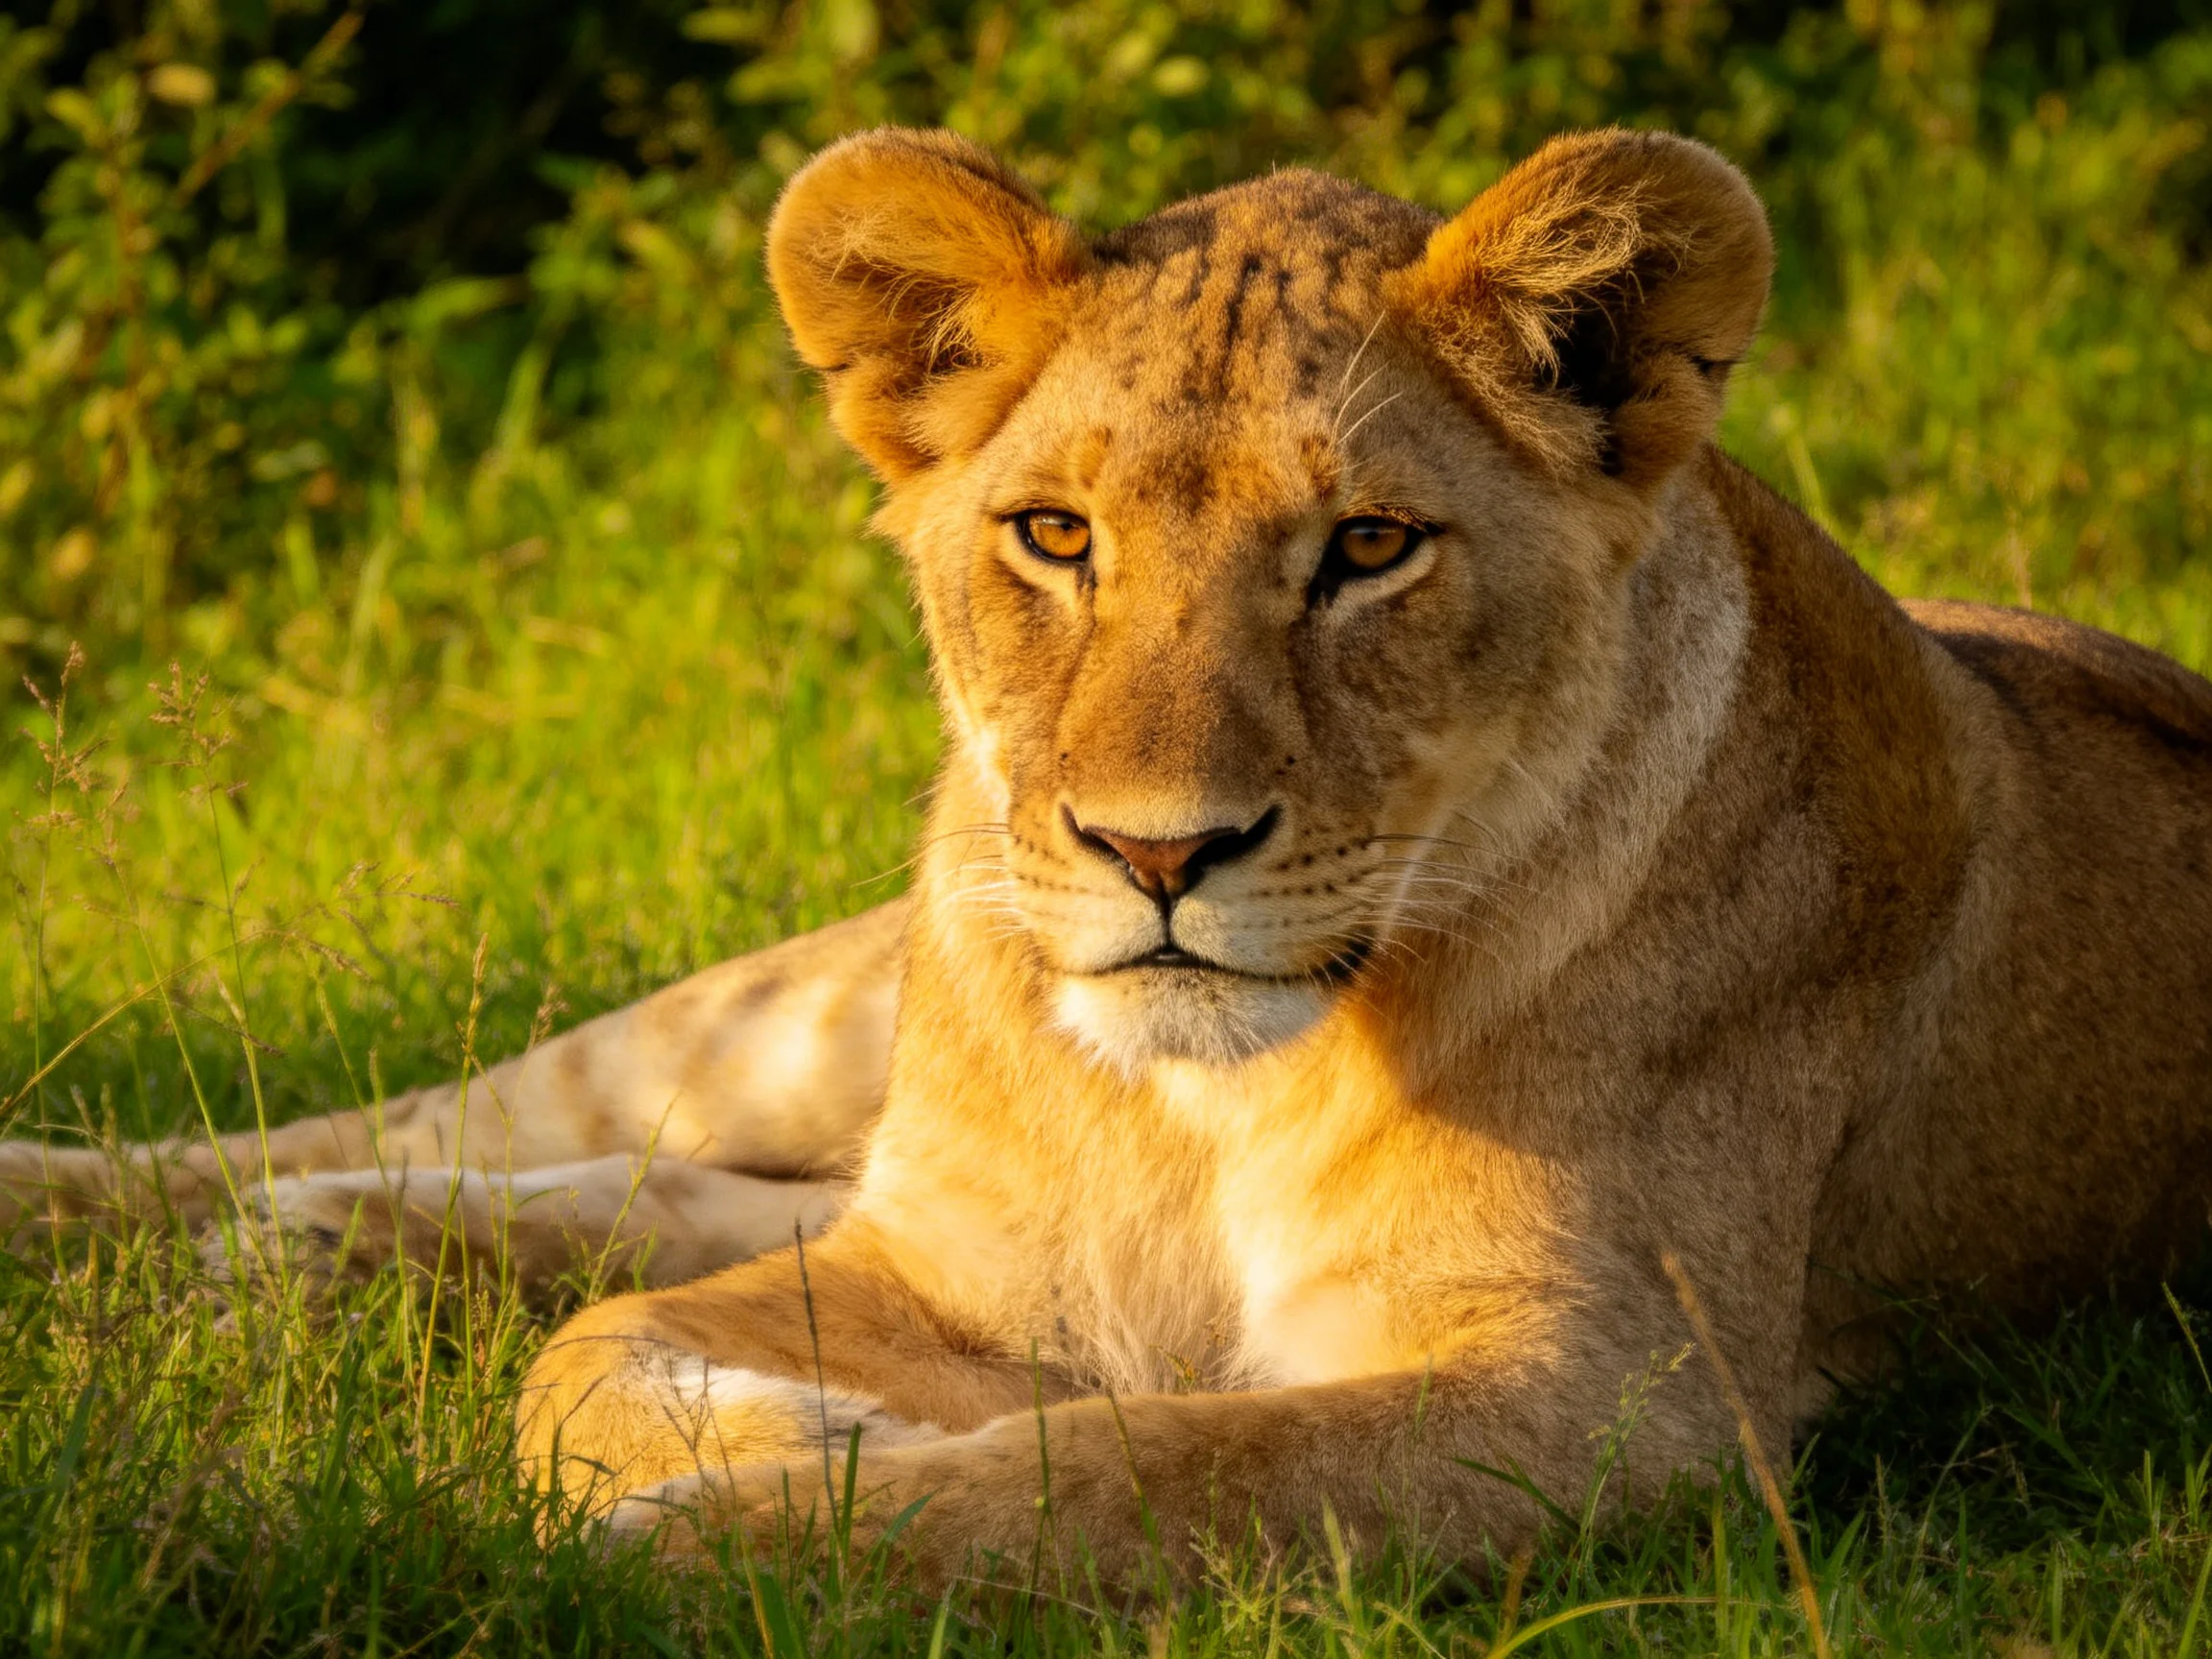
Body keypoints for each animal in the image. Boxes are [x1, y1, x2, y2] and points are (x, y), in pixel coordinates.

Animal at [11, 124, 2212, 1587]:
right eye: (1054, 536)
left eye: (1368, 547)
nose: (1162, 853)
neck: (1207, 1106)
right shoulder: (935, 1266)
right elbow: (588, 1352)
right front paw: (776, 1435)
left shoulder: (1600, 1396)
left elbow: (1144, 1470)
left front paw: (714, 1527)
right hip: (801, 1016)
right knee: (469, 1125)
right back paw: (201, 1221)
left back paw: (302, 1255)